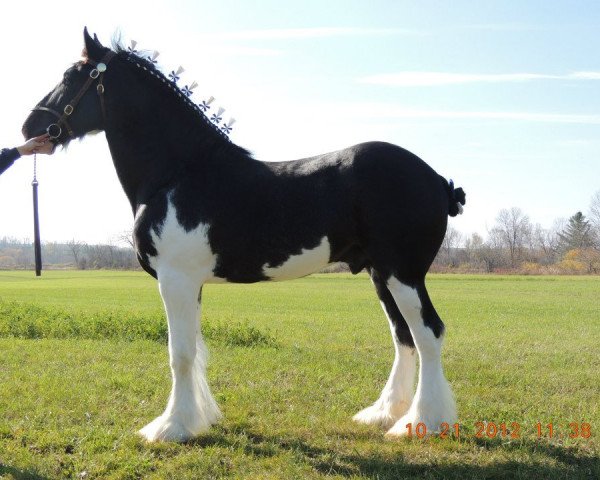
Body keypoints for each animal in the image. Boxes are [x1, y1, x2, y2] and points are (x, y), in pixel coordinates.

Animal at [21, 29, 466, 442]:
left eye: (70, 76)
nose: (30, 127)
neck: (179, 173)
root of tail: (437, 180)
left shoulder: (175, 279)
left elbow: (180, 354)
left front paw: (170, 427)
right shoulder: (190, 282)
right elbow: (195, 351)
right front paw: (197, 418)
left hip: (402, 273)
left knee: (428, 333)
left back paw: (421, 423)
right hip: (380, 275)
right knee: (404, 337)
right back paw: (383, 413)